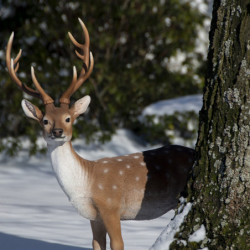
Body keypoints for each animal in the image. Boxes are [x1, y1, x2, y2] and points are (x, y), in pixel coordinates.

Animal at [6, 18, 195, 250]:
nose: (57, 132)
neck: (85, 184)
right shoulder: (94, 217)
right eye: (45, 120)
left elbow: (118, 244)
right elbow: (97, 245)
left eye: (68, 118)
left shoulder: (110, 205)